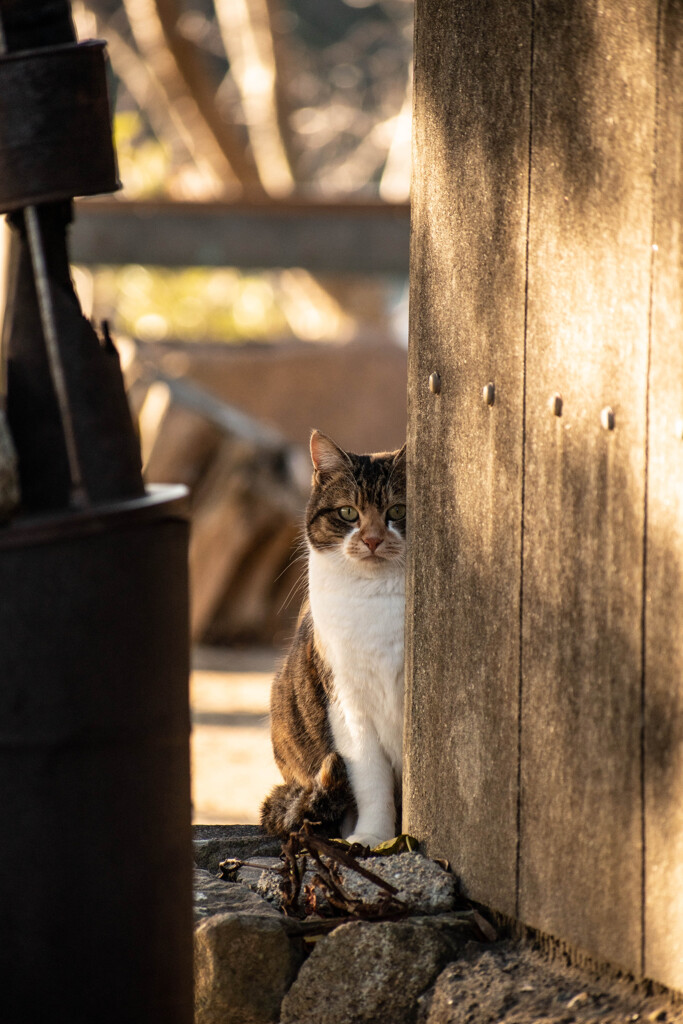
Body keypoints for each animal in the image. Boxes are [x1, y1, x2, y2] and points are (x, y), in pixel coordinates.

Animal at [259, 425, 403, 847]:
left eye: (397, 511)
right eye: (347, 513)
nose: (372, 540)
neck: (378, 597)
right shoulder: (346, 700)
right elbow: (370, 779)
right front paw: (373, 838)